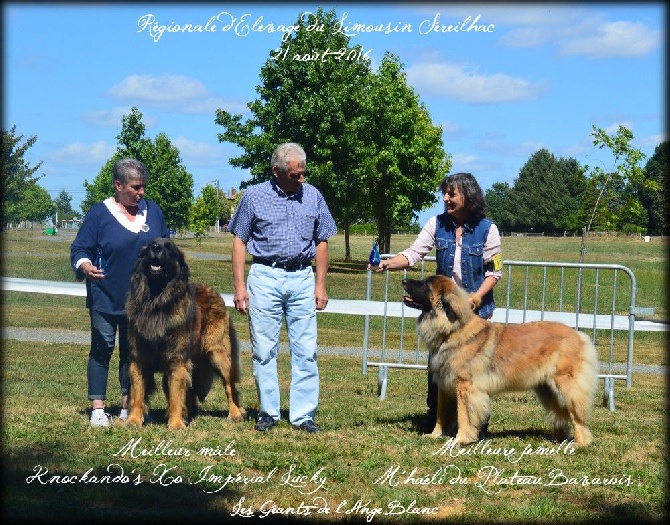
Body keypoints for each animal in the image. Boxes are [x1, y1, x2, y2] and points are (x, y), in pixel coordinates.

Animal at [125, 239, 247, 428]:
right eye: (152, 244)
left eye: (169, 248)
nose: (156, 248)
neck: (157, 301)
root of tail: (215, 293)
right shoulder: (139, 358)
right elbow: (138, 394)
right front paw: (133, 420)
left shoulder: (177, 360)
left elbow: (176, 395)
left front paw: (176, 424)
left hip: (218, 354)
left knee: (230, 386)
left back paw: (234, 413)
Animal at [402, 274, 600, 446]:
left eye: (425, 284)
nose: (403, 280)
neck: (452, 330)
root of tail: (579, 335)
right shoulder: (444, 385)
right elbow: (441, 414)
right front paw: (434, 435)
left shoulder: (465, 386)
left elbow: (464, 415)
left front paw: (460, 439)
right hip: (546, 389)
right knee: (559, 413)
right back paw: (557, 440)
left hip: (566, 385)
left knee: (576, 415)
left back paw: (580, 443)